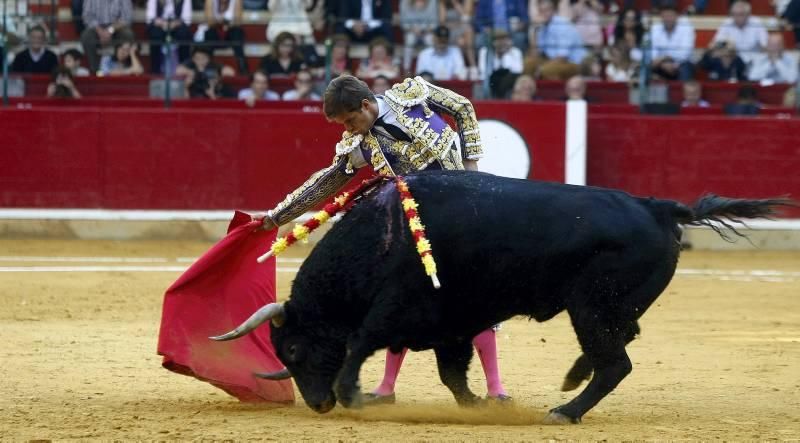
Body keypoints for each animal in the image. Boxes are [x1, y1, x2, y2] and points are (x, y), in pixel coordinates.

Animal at [209, 170, 792, 424]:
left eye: (293, 350)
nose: (319, 403)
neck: (379, 238)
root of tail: (659, 207)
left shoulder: (398, 307)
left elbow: (361, 342)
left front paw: (352, 393)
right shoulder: (451, 322)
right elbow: (452, 370)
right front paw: (474, 407)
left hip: (591, 306)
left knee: (616, 362)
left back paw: (566, 409)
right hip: (609, 308)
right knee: (622, 340)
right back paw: (571, 380)